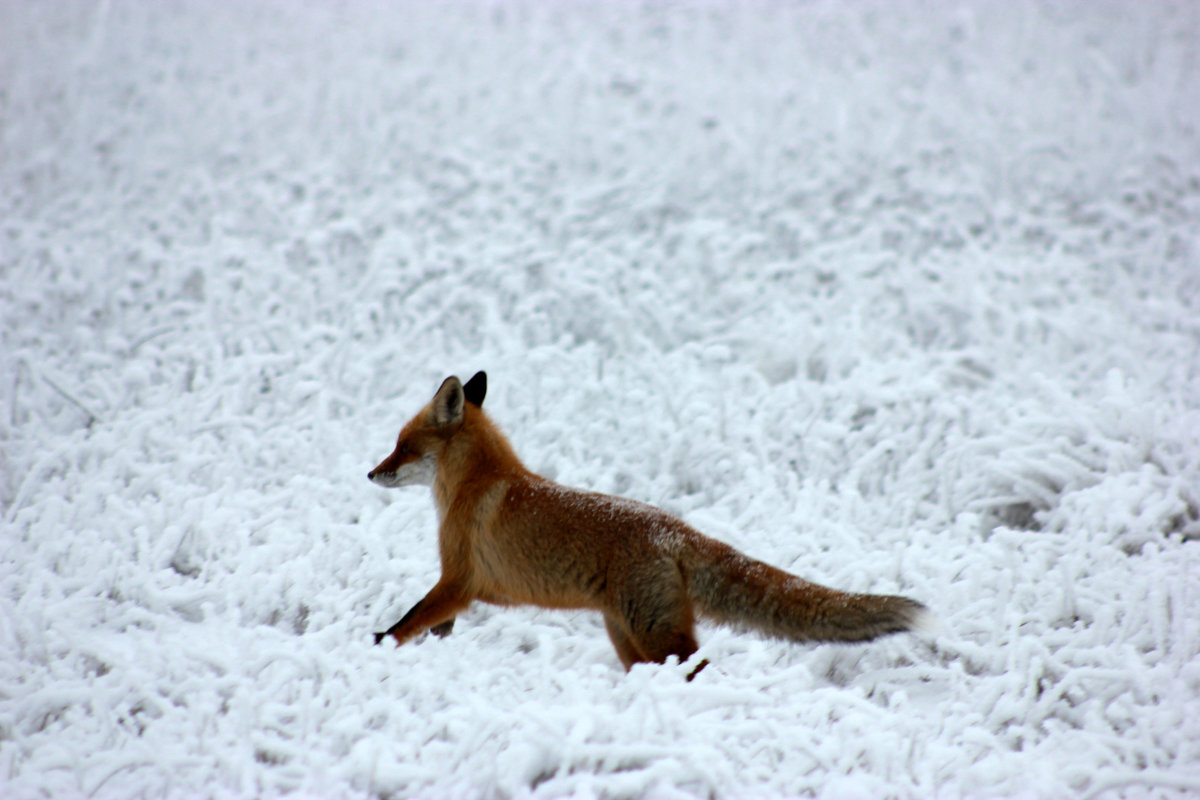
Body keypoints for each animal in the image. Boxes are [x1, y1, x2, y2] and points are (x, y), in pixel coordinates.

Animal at [364, 374, 926, 676]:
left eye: (402, 445)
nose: (370, 473)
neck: (479, 482)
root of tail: (676, 529)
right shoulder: (461, 591)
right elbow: (433, 628)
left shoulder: (458, 579)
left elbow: (405, 623)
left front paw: (375, 648)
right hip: (629, 638)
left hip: (655, 634)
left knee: (699, 668)